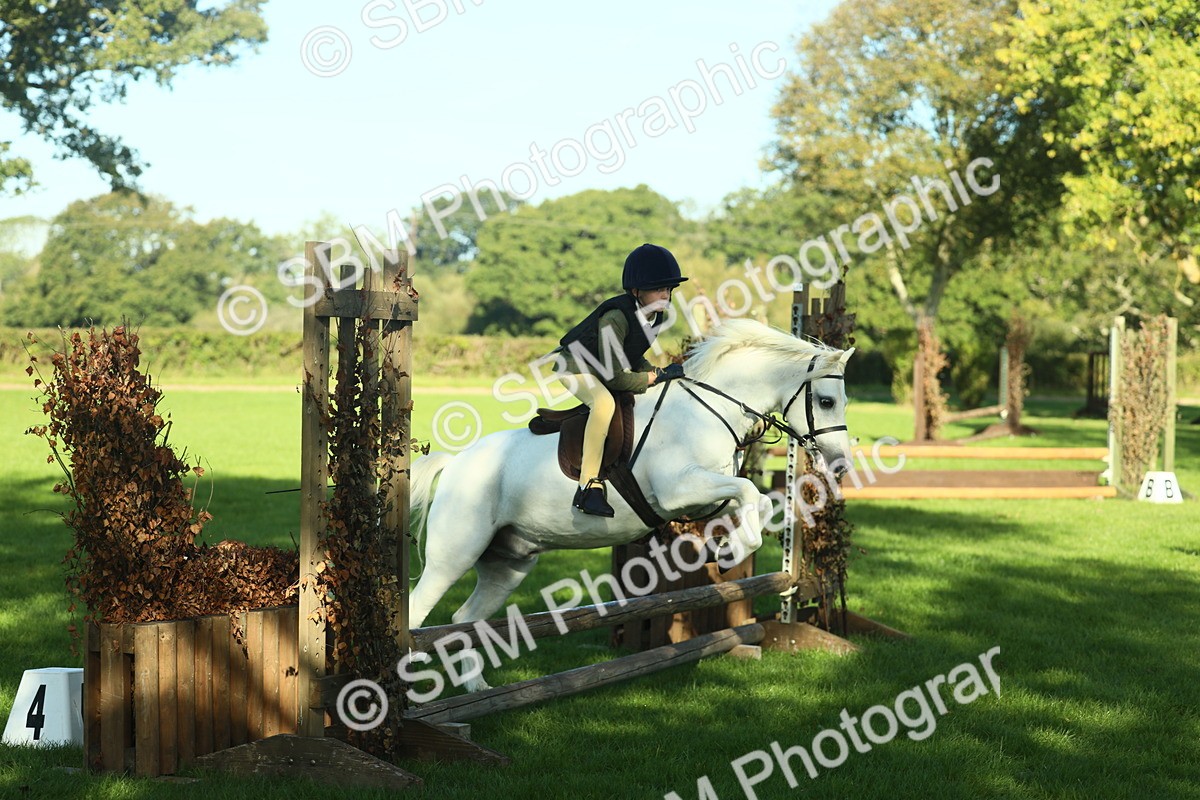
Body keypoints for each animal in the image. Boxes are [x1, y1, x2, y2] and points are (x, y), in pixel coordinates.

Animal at [408, 318, 854, 688]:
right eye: (827, 401)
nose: (840, 464)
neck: (709, 411)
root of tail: (456, 462)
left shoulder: (703, 496)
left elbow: (754, 500)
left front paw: (731, 547)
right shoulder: (680, 489)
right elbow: (748, 491)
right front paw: (733, 549)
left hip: (508, 565)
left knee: (464, 621)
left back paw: (477, 689)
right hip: (455, 554)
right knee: (416, 614)